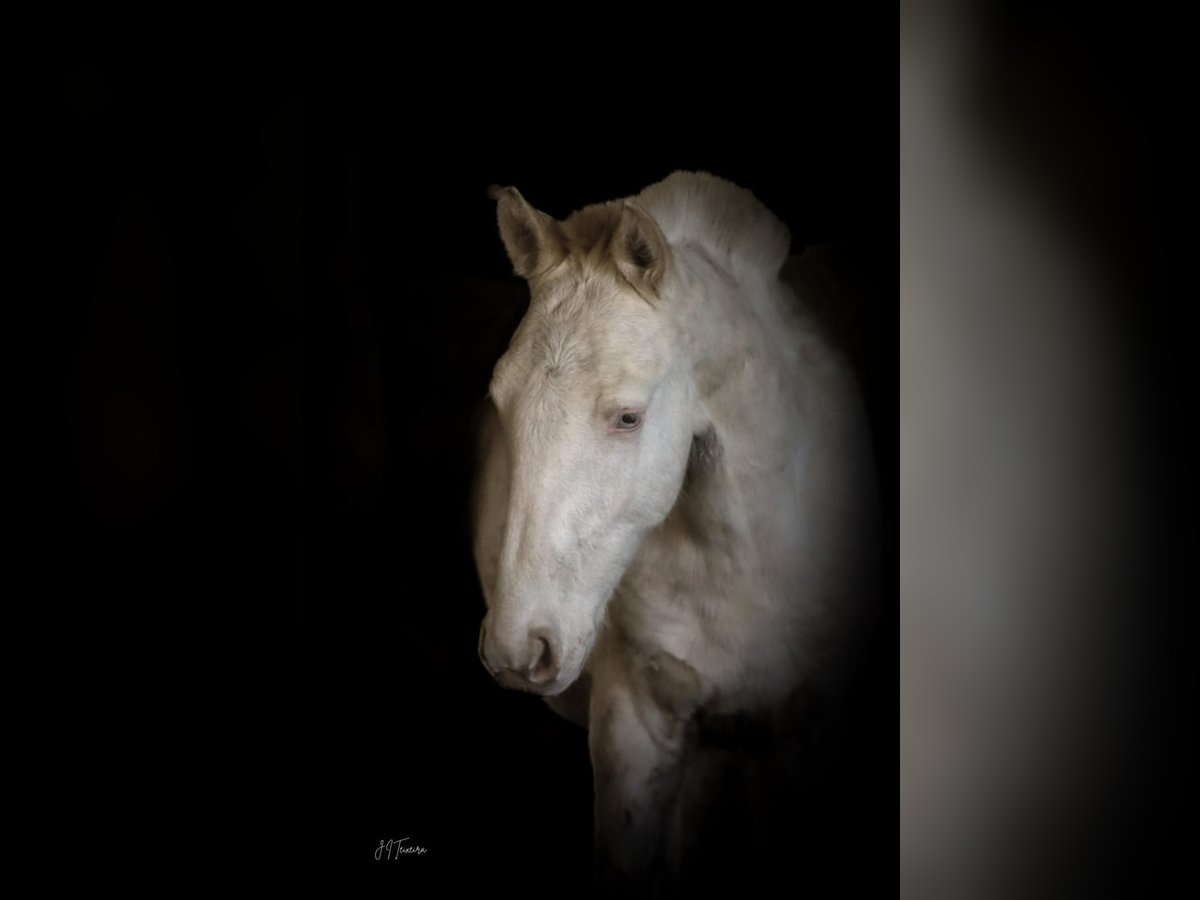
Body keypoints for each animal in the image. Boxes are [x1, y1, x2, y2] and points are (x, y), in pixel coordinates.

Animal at [472, 172, 878, 892]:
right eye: (499, 401)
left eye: (628, 417)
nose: (520, 647)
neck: (743, 562)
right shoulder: (636, 727)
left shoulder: (802, 741)